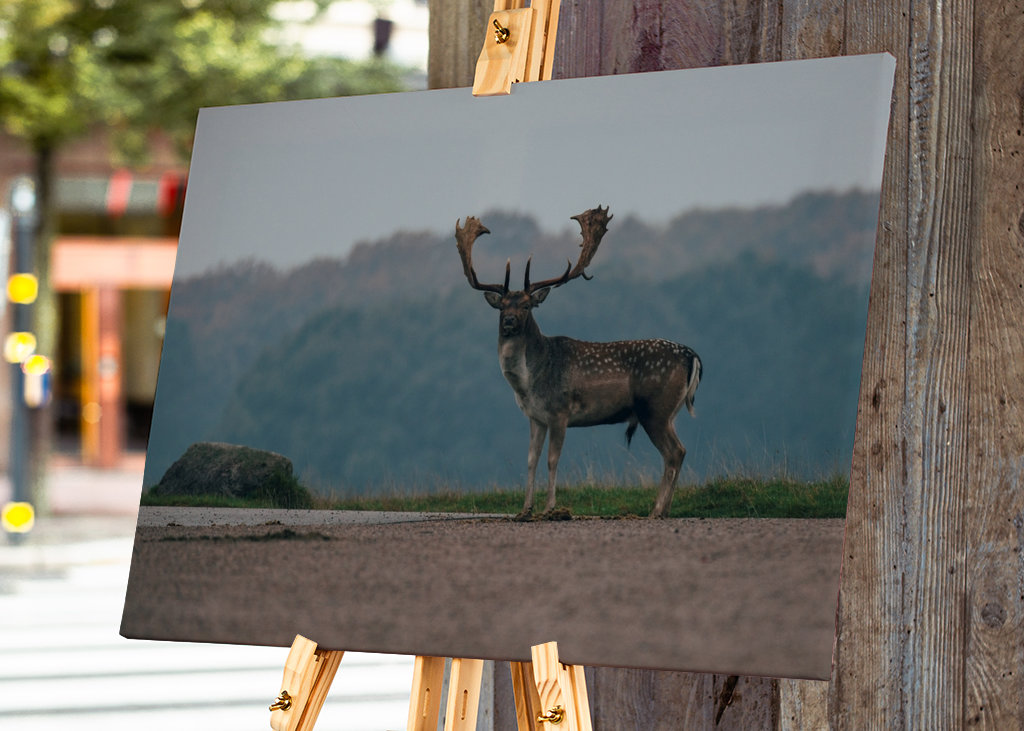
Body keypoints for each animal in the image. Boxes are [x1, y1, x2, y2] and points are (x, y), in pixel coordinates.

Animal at [455, 205, 702, 519]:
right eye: (502, 307)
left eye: (526, 305)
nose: (509, 322)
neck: (528, 383)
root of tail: (692, 356)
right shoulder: (535, 417)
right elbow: (531, 460)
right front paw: (525, 510)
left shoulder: (560, 412)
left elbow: (552, 459)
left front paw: (551, 508)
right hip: (670, 412)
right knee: (677, 452)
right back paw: (664, 509)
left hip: (654, 408)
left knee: (674, 452)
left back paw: (656, 510)